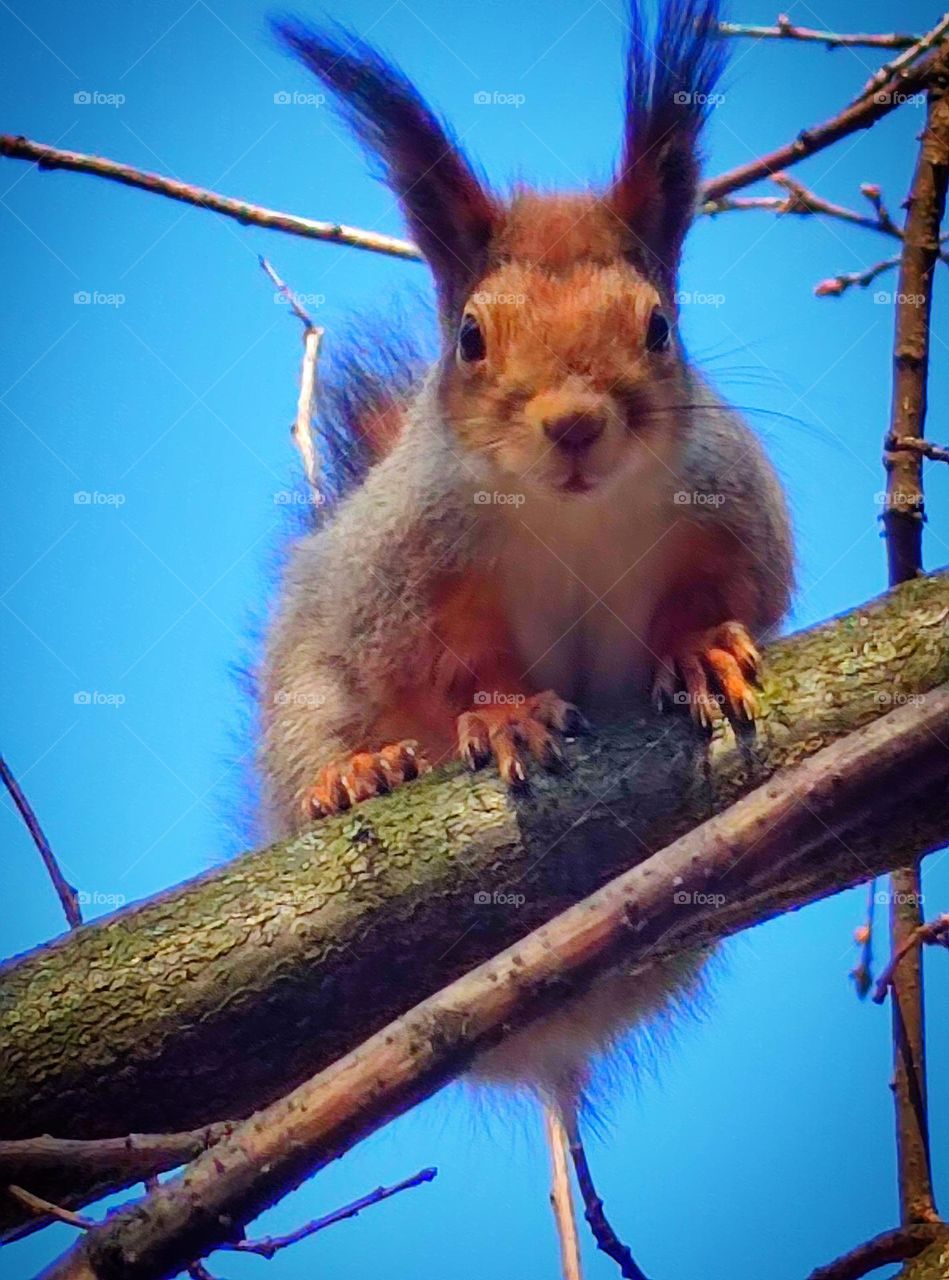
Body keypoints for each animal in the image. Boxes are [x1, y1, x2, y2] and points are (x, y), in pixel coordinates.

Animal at [258, 0, 794, 1187]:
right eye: (470, 337)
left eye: (658, 326)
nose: (575, 423)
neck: (571, 515)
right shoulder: (406, 576)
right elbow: (450, 663)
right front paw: (503, 716)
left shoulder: (734, 513)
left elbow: (727, 593)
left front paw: (702, 649)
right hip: (304, 681)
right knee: (318, 732)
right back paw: (354, 775)